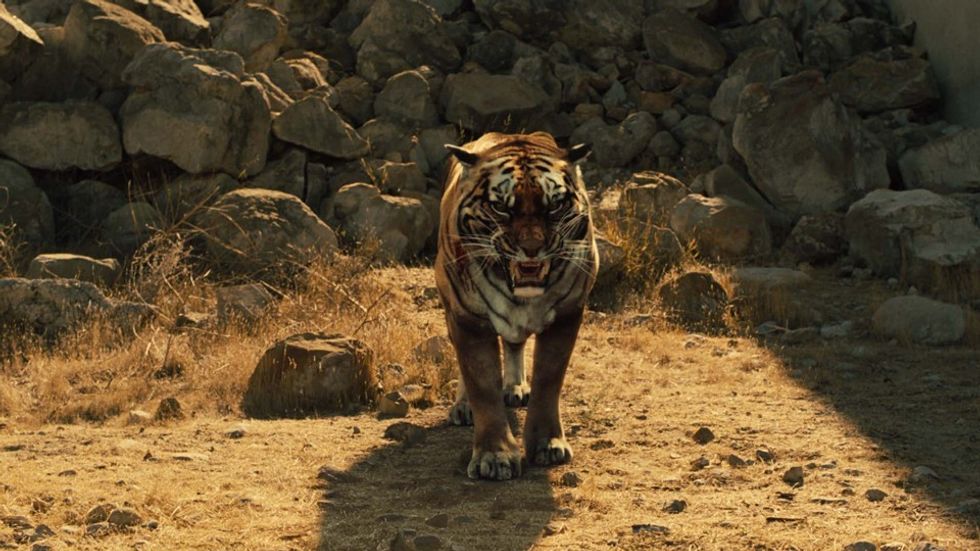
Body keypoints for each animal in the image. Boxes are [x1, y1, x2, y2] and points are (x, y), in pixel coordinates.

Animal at [435, 131, 598, 481]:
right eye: (500, 208)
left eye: (554, 206)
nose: (532, 248)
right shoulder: (468, 319)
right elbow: (481, 386)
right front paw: (494, 457)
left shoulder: (567, 313)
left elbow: (549, 379)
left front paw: (548, 444)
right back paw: (463, 406)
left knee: (513, 343)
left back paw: (515, 387)